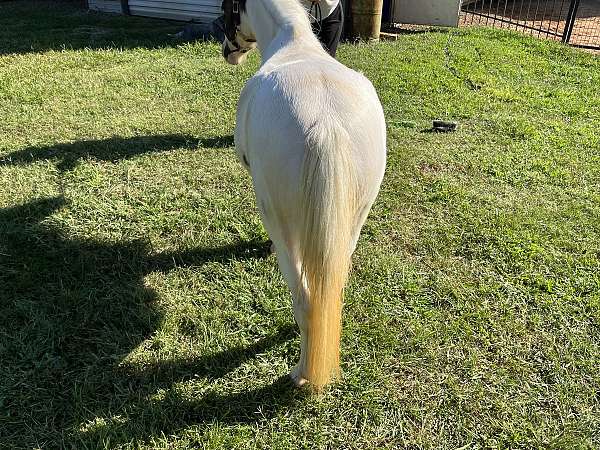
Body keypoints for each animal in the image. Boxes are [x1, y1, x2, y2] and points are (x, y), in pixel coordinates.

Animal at [223, 0, 386, 388]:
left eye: (228, 9)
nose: (227, 51)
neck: (293, 44)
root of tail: (325, 124)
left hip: (281, 222)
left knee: (304, 297)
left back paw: (301, 374)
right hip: (352, 220)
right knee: (330, 288)